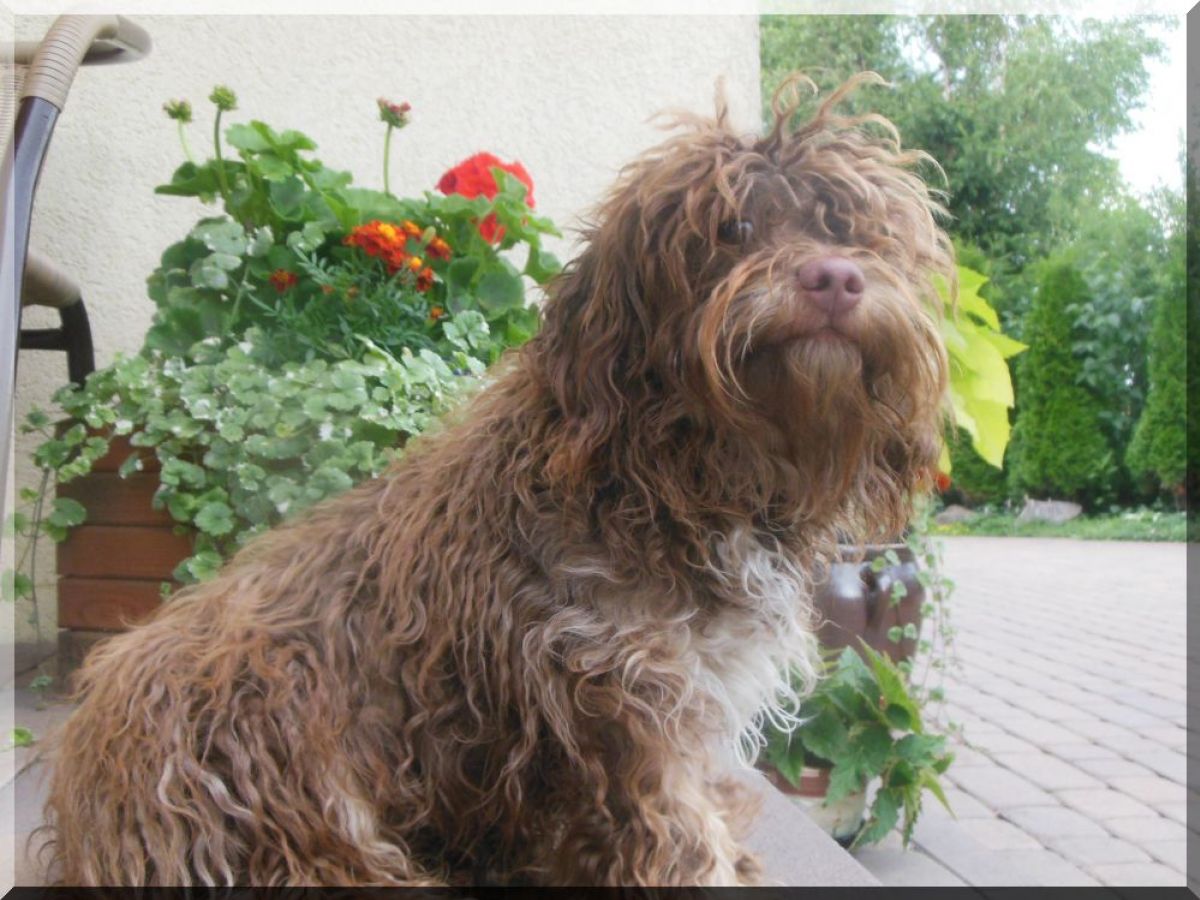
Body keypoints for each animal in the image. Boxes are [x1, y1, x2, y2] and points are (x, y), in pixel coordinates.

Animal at [41, 73, 951, 887]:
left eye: (853, 229)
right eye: (731, 225)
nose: (834, 277)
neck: (670, 479)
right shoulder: (627, 707)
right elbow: (679, 835)